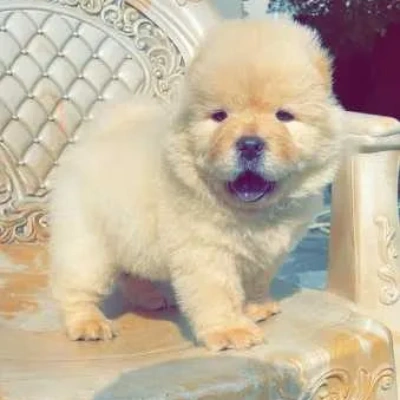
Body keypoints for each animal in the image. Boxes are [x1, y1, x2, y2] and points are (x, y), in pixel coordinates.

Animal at [50, 18, 346, 350]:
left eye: (284, 116)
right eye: (219, 116)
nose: (249, 144)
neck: (251, 214)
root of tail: (92, 140)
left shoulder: (269, 251)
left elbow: (257, 279)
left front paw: (257, 307)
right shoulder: (205, 249)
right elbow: (218, 292)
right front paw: (232, 331)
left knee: (132, 273)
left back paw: (149, 299)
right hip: (88, 244)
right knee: (75, 287)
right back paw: (88, 323)